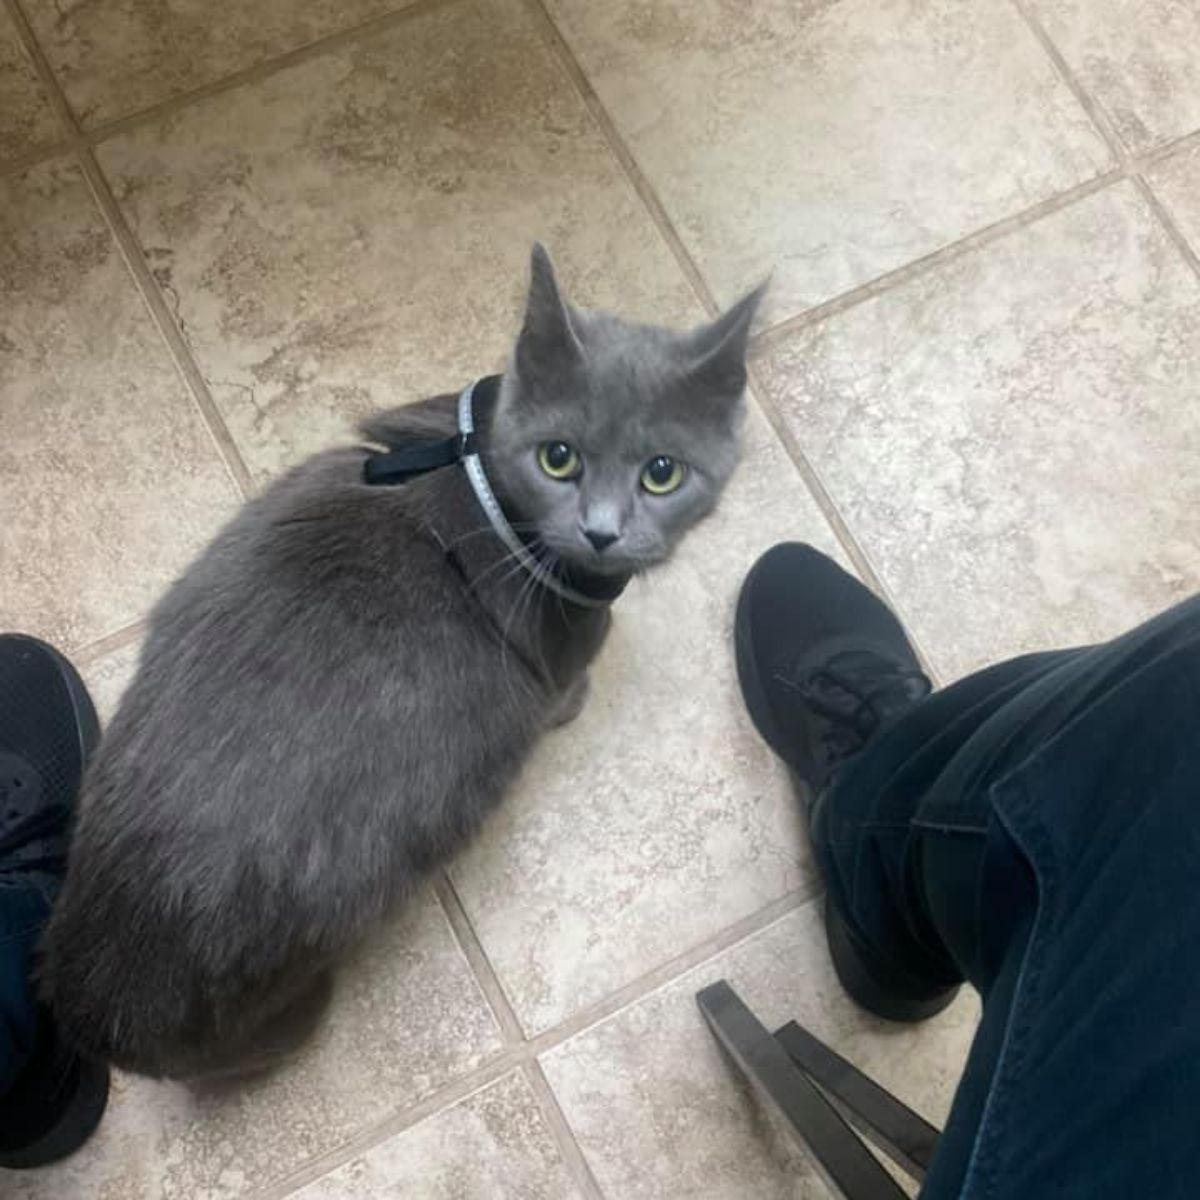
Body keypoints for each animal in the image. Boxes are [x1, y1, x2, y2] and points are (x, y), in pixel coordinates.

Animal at [44, 246, 768, 1080]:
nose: (602, 532)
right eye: (559, 458)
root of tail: (102, 1000)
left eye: (661, 472)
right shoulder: (561, 653)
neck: (485, 486)